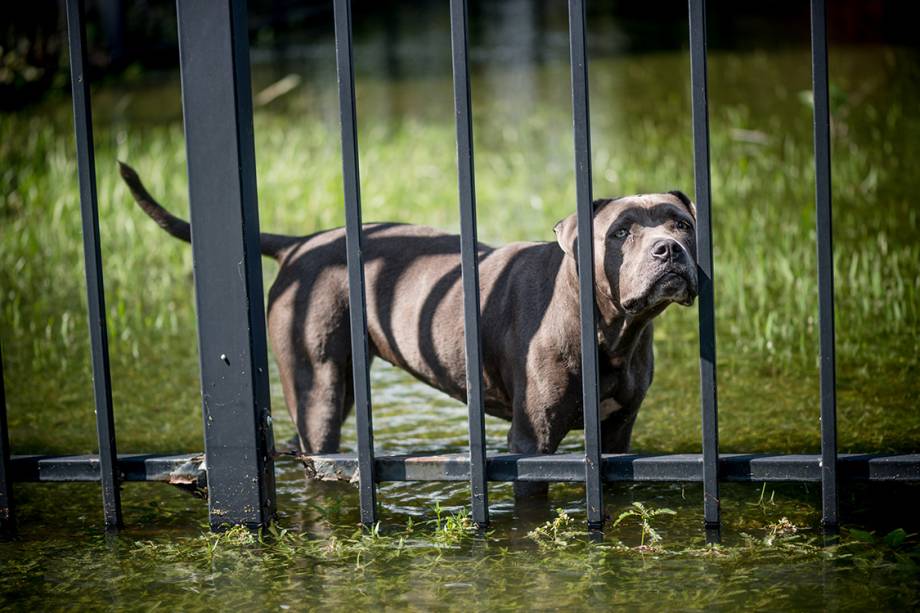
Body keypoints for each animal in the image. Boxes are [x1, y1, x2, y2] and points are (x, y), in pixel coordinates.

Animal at [117, 161, 696, 478]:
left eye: (682, 224)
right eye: (620, 232)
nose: (669, 251)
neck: (612, 332)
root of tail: (301, 243)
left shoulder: (618, 431)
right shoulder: (533, 440)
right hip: (318, 387)